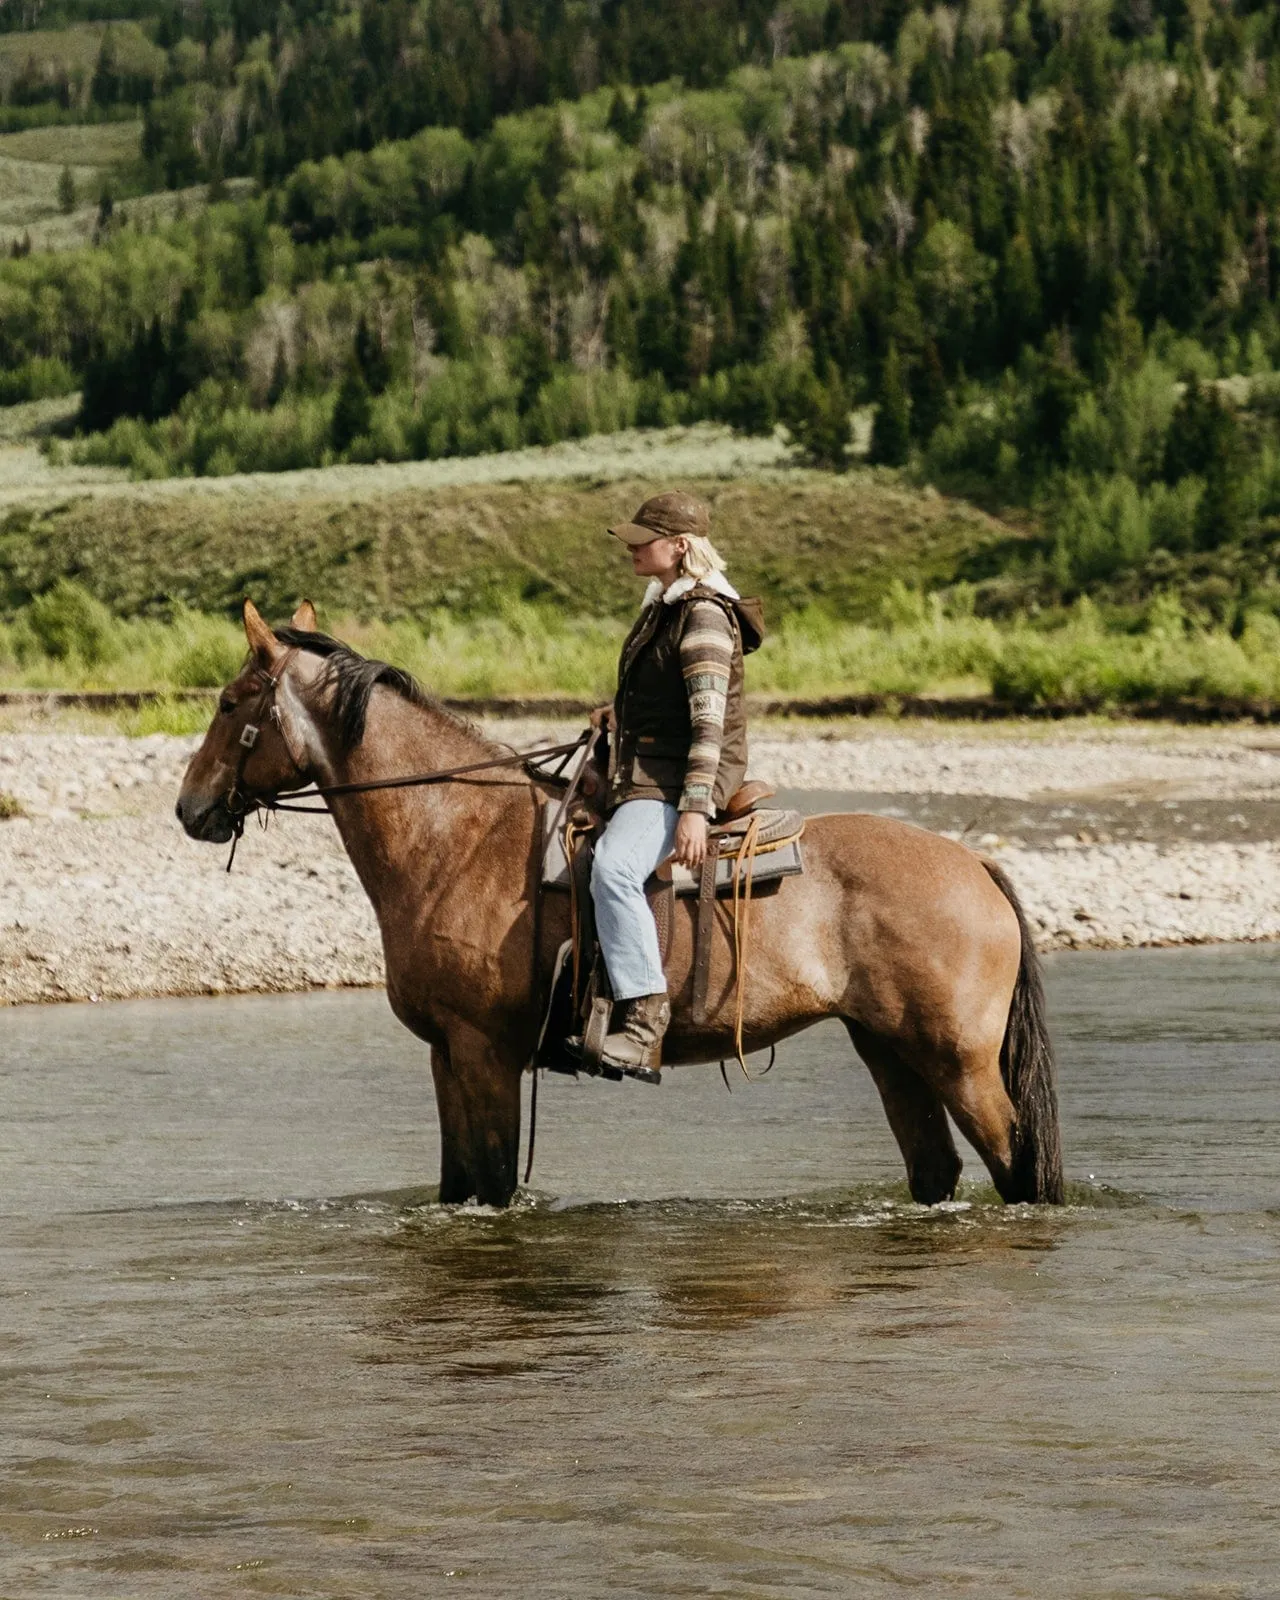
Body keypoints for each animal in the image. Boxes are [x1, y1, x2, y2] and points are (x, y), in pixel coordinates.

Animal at [177, 604, 1062, 1203]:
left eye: (230, 701)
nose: (191, 807)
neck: (455, 834)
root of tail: (975, 863)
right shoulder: (446, 1054)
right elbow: (458, 1183)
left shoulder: (485, 1053)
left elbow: (492, 1183)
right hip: (891, 1052)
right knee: (935, 1167)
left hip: (961, 1062)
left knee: (1016, 1165)